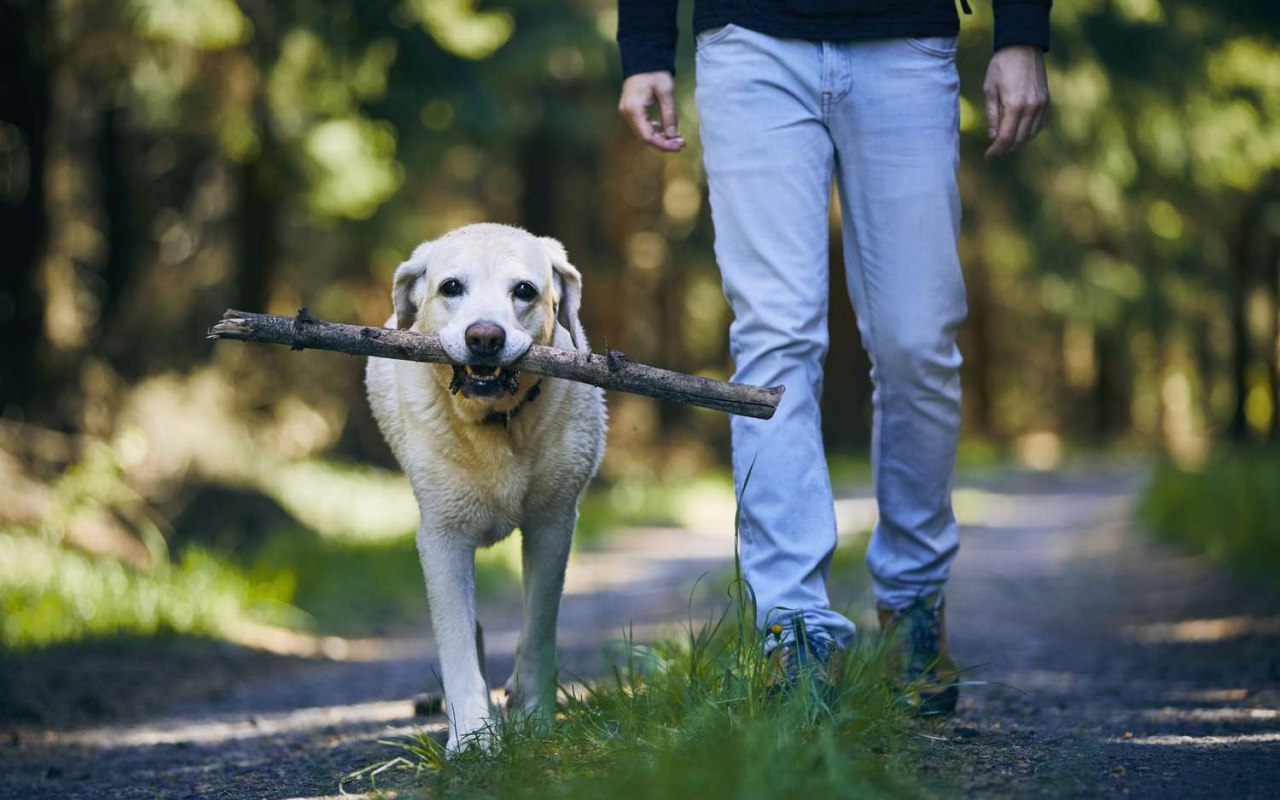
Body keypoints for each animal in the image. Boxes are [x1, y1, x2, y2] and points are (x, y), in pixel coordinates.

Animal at [366, 222, 604, 747]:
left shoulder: (553, 525)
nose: (484, 337)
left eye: (525, 291)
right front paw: (474, 736)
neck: (496, 424)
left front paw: (534, 718)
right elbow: (455, 637)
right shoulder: (442, 536)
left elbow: (538, 629)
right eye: (451, 287)